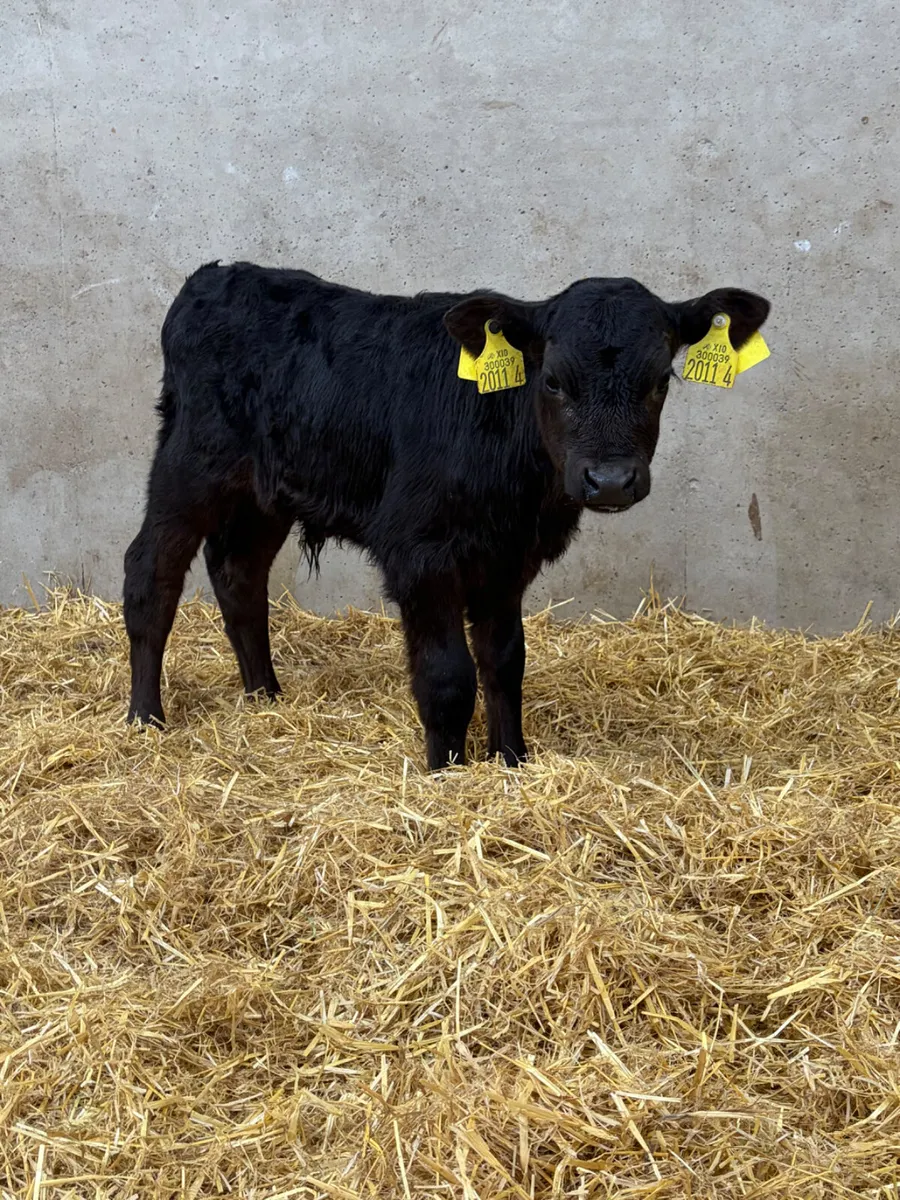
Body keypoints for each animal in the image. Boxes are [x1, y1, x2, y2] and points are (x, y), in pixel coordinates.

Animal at [123, 263, 770, 768]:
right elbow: (447, 675)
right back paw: (145, 717)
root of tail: (217, 276)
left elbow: (505, 661)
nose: (609, 481)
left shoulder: (509, 559)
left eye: (660, 381)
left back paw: (265, 698)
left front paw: (511, 760)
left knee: (239, 573)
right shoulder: (421, 556)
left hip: (265, 492)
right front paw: (447, 773)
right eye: (553, 381)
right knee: (149, 571)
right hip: (189, 465)